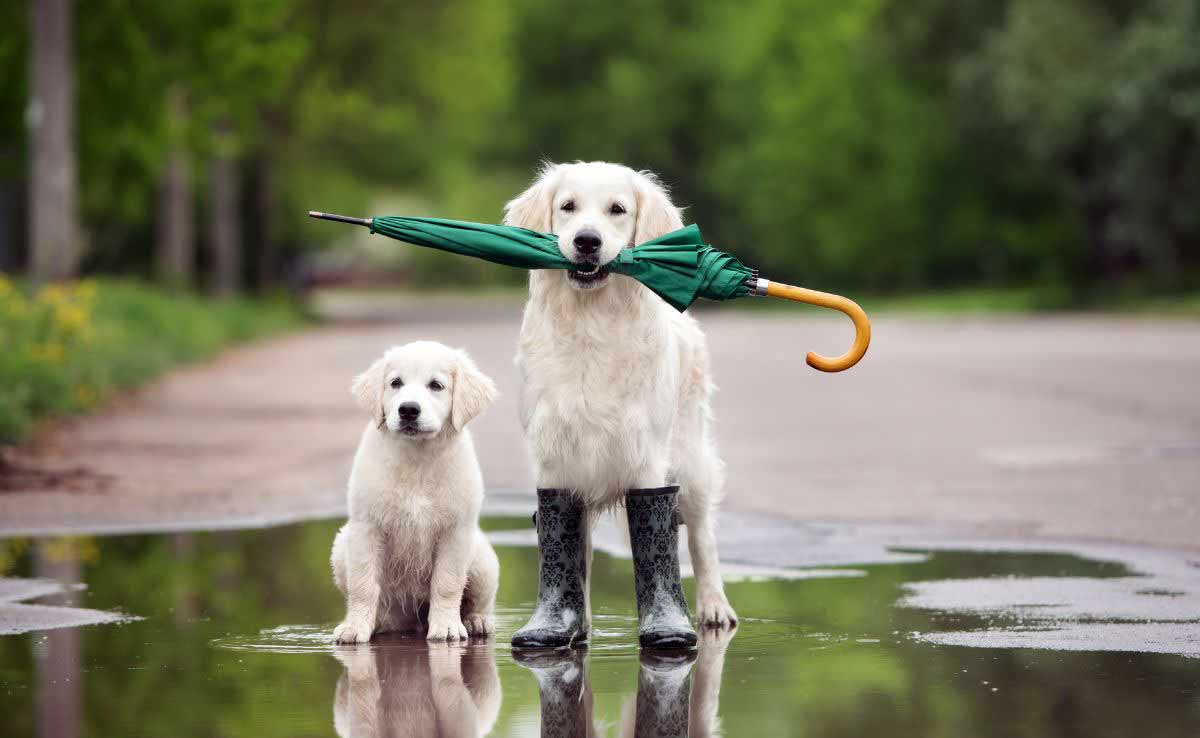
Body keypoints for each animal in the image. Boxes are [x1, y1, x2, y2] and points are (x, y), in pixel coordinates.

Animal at [331, 340, 499, 643]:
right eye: (395, 383)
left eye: (436, 385)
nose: (408, 410)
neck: (417, 459)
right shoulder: (366, 526)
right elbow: (363, 584)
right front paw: (355, 627)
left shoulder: (456, 530)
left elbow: (447, 583)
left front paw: (446, 627)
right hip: (341, 546)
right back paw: (377, 623)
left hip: (482, 560)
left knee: (479, 600)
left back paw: (476, 621)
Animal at [504, 158, 734, 628]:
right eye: (568, 207)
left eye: (617, 209)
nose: (586, 241)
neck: (592, 323)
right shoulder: (555, 456)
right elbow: (569, 548)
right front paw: (568, 623)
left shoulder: (646, 456)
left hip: (691, 459)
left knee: (702, 536)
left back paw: (714, 607)